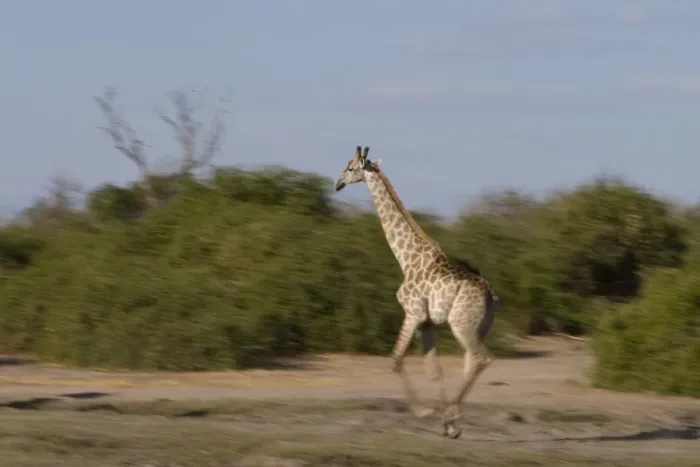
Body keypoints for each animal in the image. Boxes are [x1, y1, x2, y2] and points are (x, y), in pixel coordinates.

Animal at [334, 146, 503, 439]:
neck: (406, 256)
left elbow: (395, 359)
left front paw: (424, 412)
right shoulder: (427, 323)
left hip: (461, 324)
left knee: (481, 358)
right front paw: (443, 421)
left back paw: (453, 418)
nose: (338, 184)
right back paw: (453, 421)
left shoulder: (412, 314)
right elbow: (434, 371)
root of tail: (490, 296)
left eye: (351, 167)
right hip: (479, 326)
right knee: (470, 361)